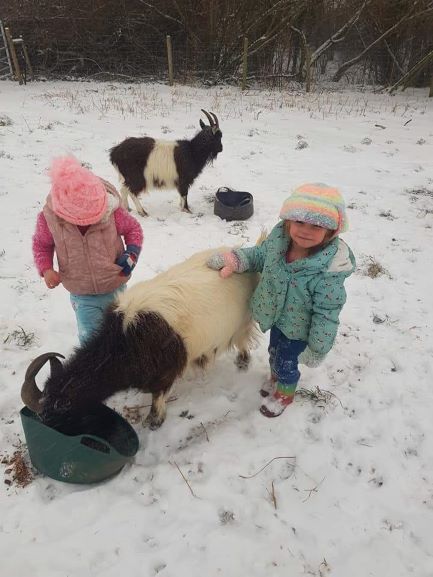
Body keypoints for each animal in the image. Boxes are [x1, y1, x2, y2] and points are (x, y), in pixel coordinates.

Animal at [21, 245, 256, 430]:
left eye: (59, 417)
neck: (121, 343)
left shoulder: (165, 372)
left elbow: (158, 397)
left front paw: (154, 421)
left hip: (242, 323)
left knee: (243, 341)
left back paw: (242, 362)